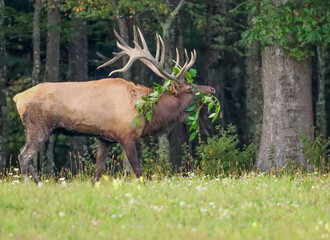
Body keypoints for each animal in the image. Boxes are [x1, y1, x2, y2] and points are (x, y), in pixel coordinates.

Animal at [12, 26, 215, 184]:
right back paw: (28, 185)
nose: (212, 89)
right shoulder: (126, 135)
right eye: (190, 88)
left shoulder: (106, 138)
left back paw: (38, 184)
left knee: (26, 155)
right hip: (39, 126)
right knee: (24, 155)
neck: (146, 113)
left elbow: (99, 169)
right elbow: (138, 170)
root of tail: (17, 97)